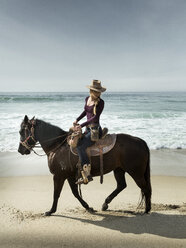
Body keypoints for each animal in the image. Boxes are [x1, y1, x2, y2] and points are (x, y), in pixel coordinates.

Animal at [17, 116, 151, 215]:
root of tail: (140, 141)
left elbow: (56, 193)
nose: (20, 150)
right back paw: (105, 204)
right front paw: (88, 207)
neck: (57, 146)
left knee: (145, 188)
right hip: (119, 169)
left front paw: (50, 211)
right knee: (122, 185)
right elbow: (75, 193)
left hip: (136, 172)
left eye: (21, 131)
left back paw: (146, 210)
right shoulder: (70, 176)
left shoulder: (59, 176)